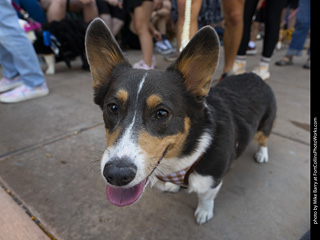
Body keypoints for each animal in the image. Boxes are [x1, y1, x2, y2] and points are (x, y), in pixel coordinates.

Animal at [85, 18, 278, 225]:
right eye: (112, 108)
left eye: (162, 113)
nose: (117, 175)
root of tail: (255, 76)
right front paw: (173, 187)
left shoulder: (212, 181)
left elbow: (206, 198)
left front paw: (204, 213)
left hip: (265, 126)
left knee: (264, 139)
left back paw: (262, 154)